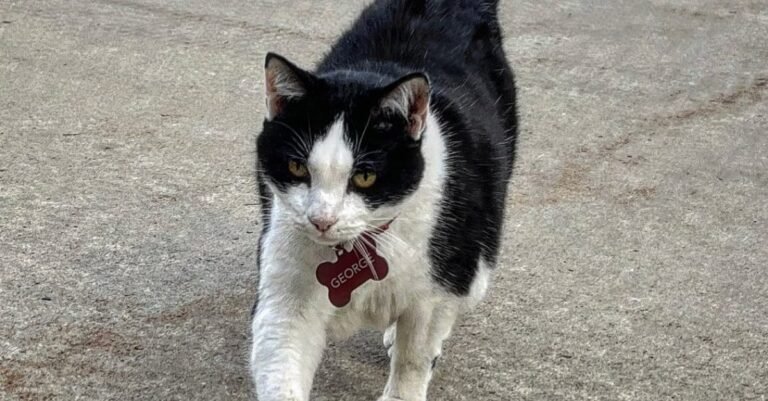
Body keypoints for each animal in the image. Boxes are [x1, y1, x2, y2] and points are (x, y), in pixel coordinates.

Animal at [250, 0, 516, 398]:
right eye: (297, 167)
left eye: (365, 176)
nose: (322, 220)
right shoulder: (285, 295)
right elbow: (281, 361)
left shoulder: (434, 289)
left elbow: (414, 357)